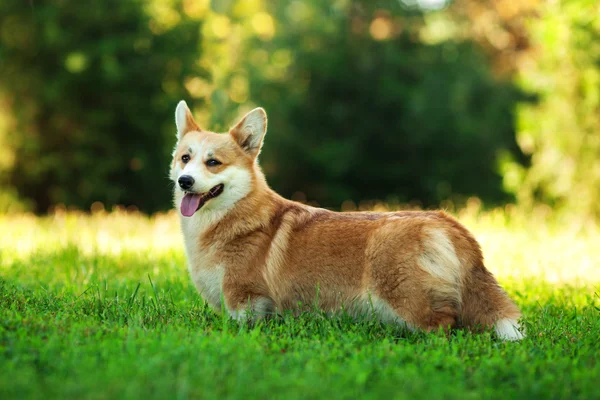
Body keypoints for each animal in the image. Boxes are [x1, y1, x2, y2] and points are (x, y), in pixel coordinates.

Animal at [170, 101, 524, 340]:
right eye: (185, 158)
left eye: (213, 163)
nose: (185, 182)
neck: (231, 216)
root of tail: (451, 226)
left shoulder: (246, 300)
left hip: (405, 297)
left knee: (445, 326)